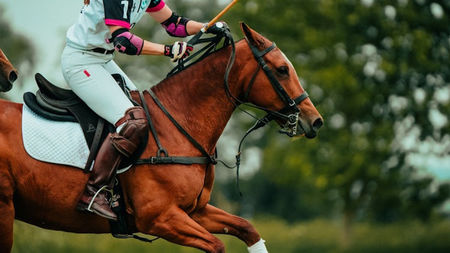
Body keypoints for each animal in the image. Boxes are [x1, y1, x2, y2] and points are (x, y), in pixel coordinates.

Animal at [0, 23, 324, 253]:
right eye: (282, 70)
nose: (315, 120)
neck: (179, 121)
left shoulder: (195, 210)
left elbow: (248, 228)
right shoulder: (160, 218)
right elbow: (217, 245)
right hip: (5, 207)